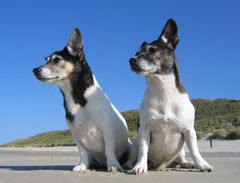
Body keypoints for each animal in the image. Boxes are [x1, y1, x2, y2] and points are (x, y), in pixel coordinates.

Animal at [32, 27, 130, 172]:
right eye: (46, 60)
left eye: (56, 60)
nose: (34, 70)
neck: (76, 97)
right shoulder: (77, 136)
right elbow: (83, 152)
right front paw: (82, 165)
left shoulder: (107, 131)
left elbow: (109, 150)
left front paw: (113, 165)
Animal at [125, 18, 214, 174]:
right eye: (136, 53)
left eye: (152, 50)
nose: (132, 59)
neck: (162, 89)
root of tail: (161, 165)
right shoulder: (144, 130)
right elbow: (143, 151)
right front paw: (140, 166)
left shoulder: (189, 131)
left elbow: (195, 151)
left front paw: (202, 164)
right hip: (135, 142)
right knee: (134, 154)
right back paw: (130, 164)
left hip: (181, 150)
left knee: (181, 160)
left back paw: (188, 164)